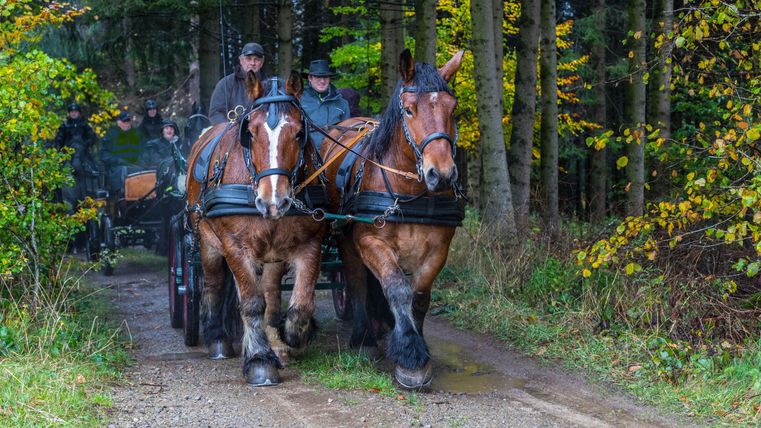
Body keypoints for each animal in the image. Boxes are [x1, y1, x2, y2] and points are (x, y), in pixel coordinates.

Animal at [185, 71, 327, 386]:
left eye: (299, 133)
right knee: (214, 284)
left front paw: (290, 336)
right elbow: (251, 303)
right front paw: (260, 360)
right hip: (206, 241)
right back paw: (217, 339)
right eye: (250, 133)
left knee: (271, 292)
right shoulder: (234, 246)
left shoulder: (310, 242)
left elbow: (301, 304)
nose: (273, 201)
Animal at [320, 49, 464, 389]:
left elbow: (420, 295)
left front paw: (415, 352)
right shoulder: (371, 240)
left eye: (453, 109)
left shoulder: (439, 248)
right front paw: (410, 354)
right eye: (409, 110)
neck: (409, 191)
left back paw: (382, 325)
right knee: (356, 279)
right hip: (345, 236)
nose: (441, 174)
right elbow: (398, 288)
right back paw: (364, 338)